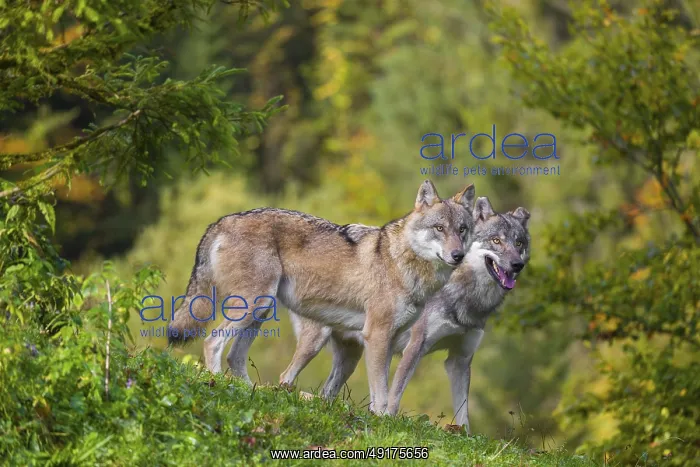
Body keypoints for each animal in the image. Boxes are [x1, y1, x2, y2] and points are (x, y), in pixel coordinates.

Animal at [168, 180, 476, 414]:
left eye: (462, 230)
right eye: (439, 228)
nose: (458, 255)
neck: (402, 262)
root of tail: (222, 221)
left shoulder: (389, 341)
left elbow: (387, 390)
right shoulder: (377, 335)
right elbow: (381, 391)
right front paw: (381, 420)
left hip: (262, 311)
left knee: (236, 357)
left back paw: (247, 391)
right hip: (262, 310)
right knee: (212, 342)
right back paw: (218, 384)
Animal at [280, 197, 530, 432]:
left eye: (519, 243)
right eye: (496, 241)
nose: (517, 264)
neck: (464, 297)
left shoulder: (459, 360)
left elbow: (464, 414)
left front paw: (463, 436)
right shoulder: (415, 348)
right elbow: (394, 396)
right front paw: (387, 421)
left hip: (351, 359)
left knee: (326, 393)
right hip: (316, 344)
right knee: (286, 378)